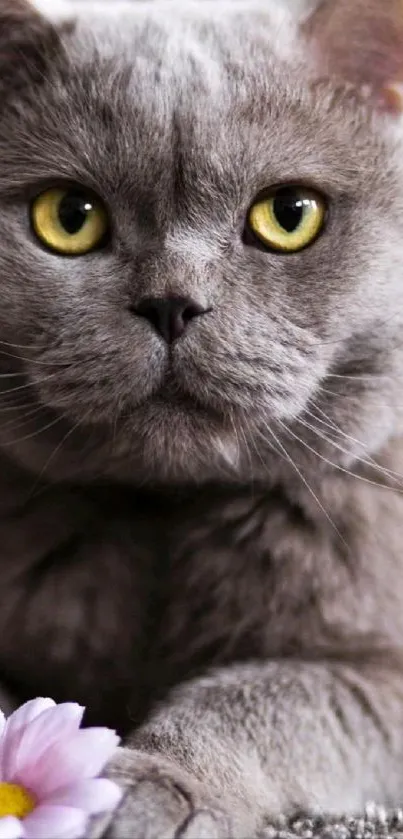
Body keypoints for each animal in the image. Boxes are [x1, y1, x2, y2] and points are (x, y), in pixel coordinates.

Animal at [0, 0, 403, 836]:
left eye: (289, 215)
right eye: (68, 217)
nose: (170, 302)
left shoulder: (384, 670)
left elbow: (272, 691)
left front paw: (155, 784)